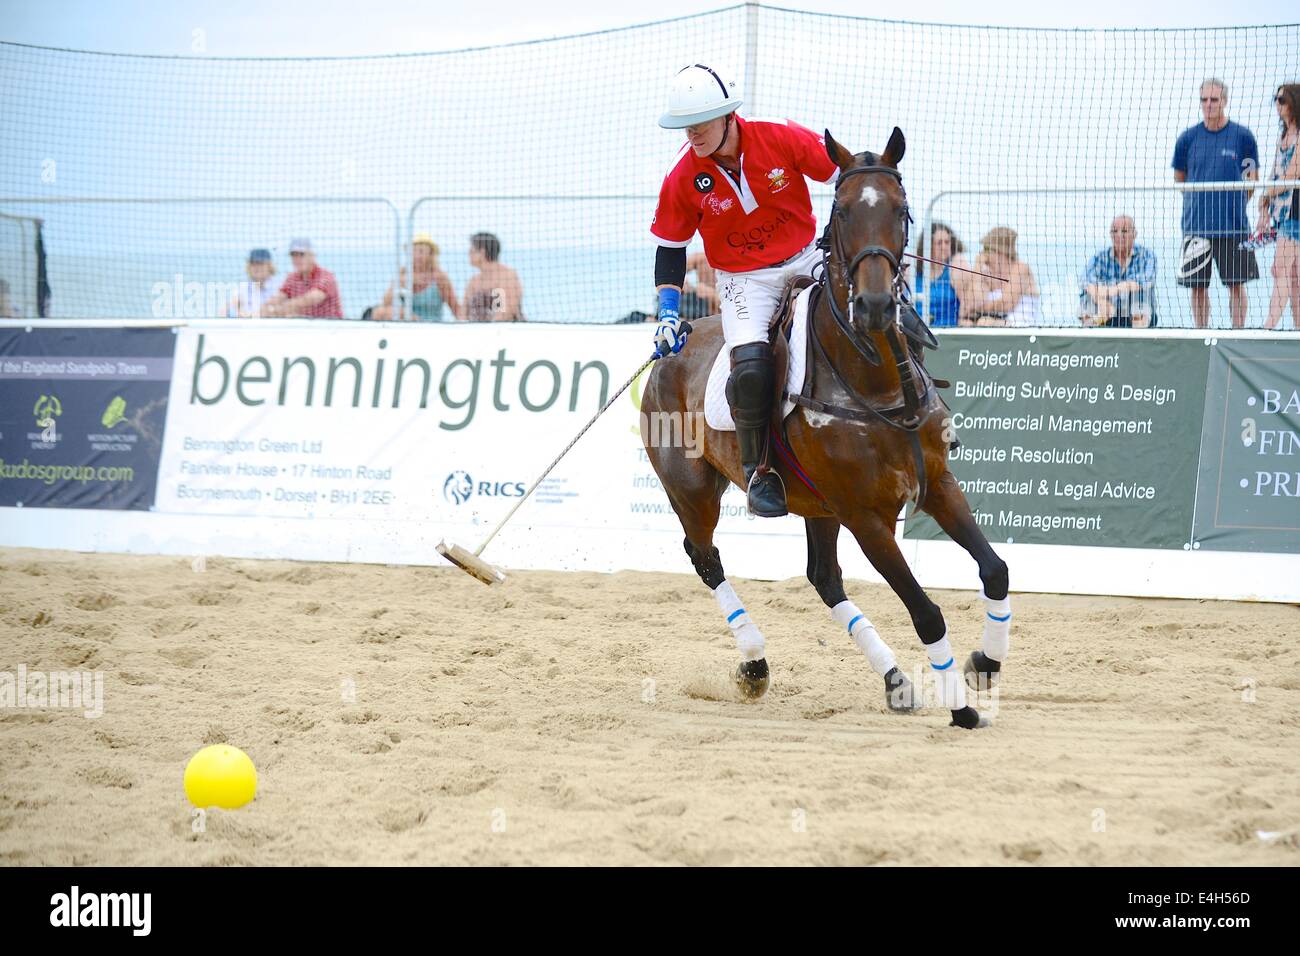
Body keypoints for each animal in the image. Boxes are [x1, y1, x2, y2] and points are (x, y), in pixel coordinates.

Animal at [644, 125, 1008, 723]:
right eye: (840, 210)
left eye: (902, 209)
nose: (876, 305)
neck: (876, 381)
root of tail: (670, 352)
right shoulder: (865, 515)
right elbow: (926, 611)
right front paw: (960, 708)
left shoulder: (937, 484)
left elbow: (994, 569)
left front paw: (985, 663)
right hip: (692, 490)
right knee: (705, 557)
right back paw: (754, 664)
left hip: (816, 504)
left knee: (824, 578)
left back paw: (893, 680)